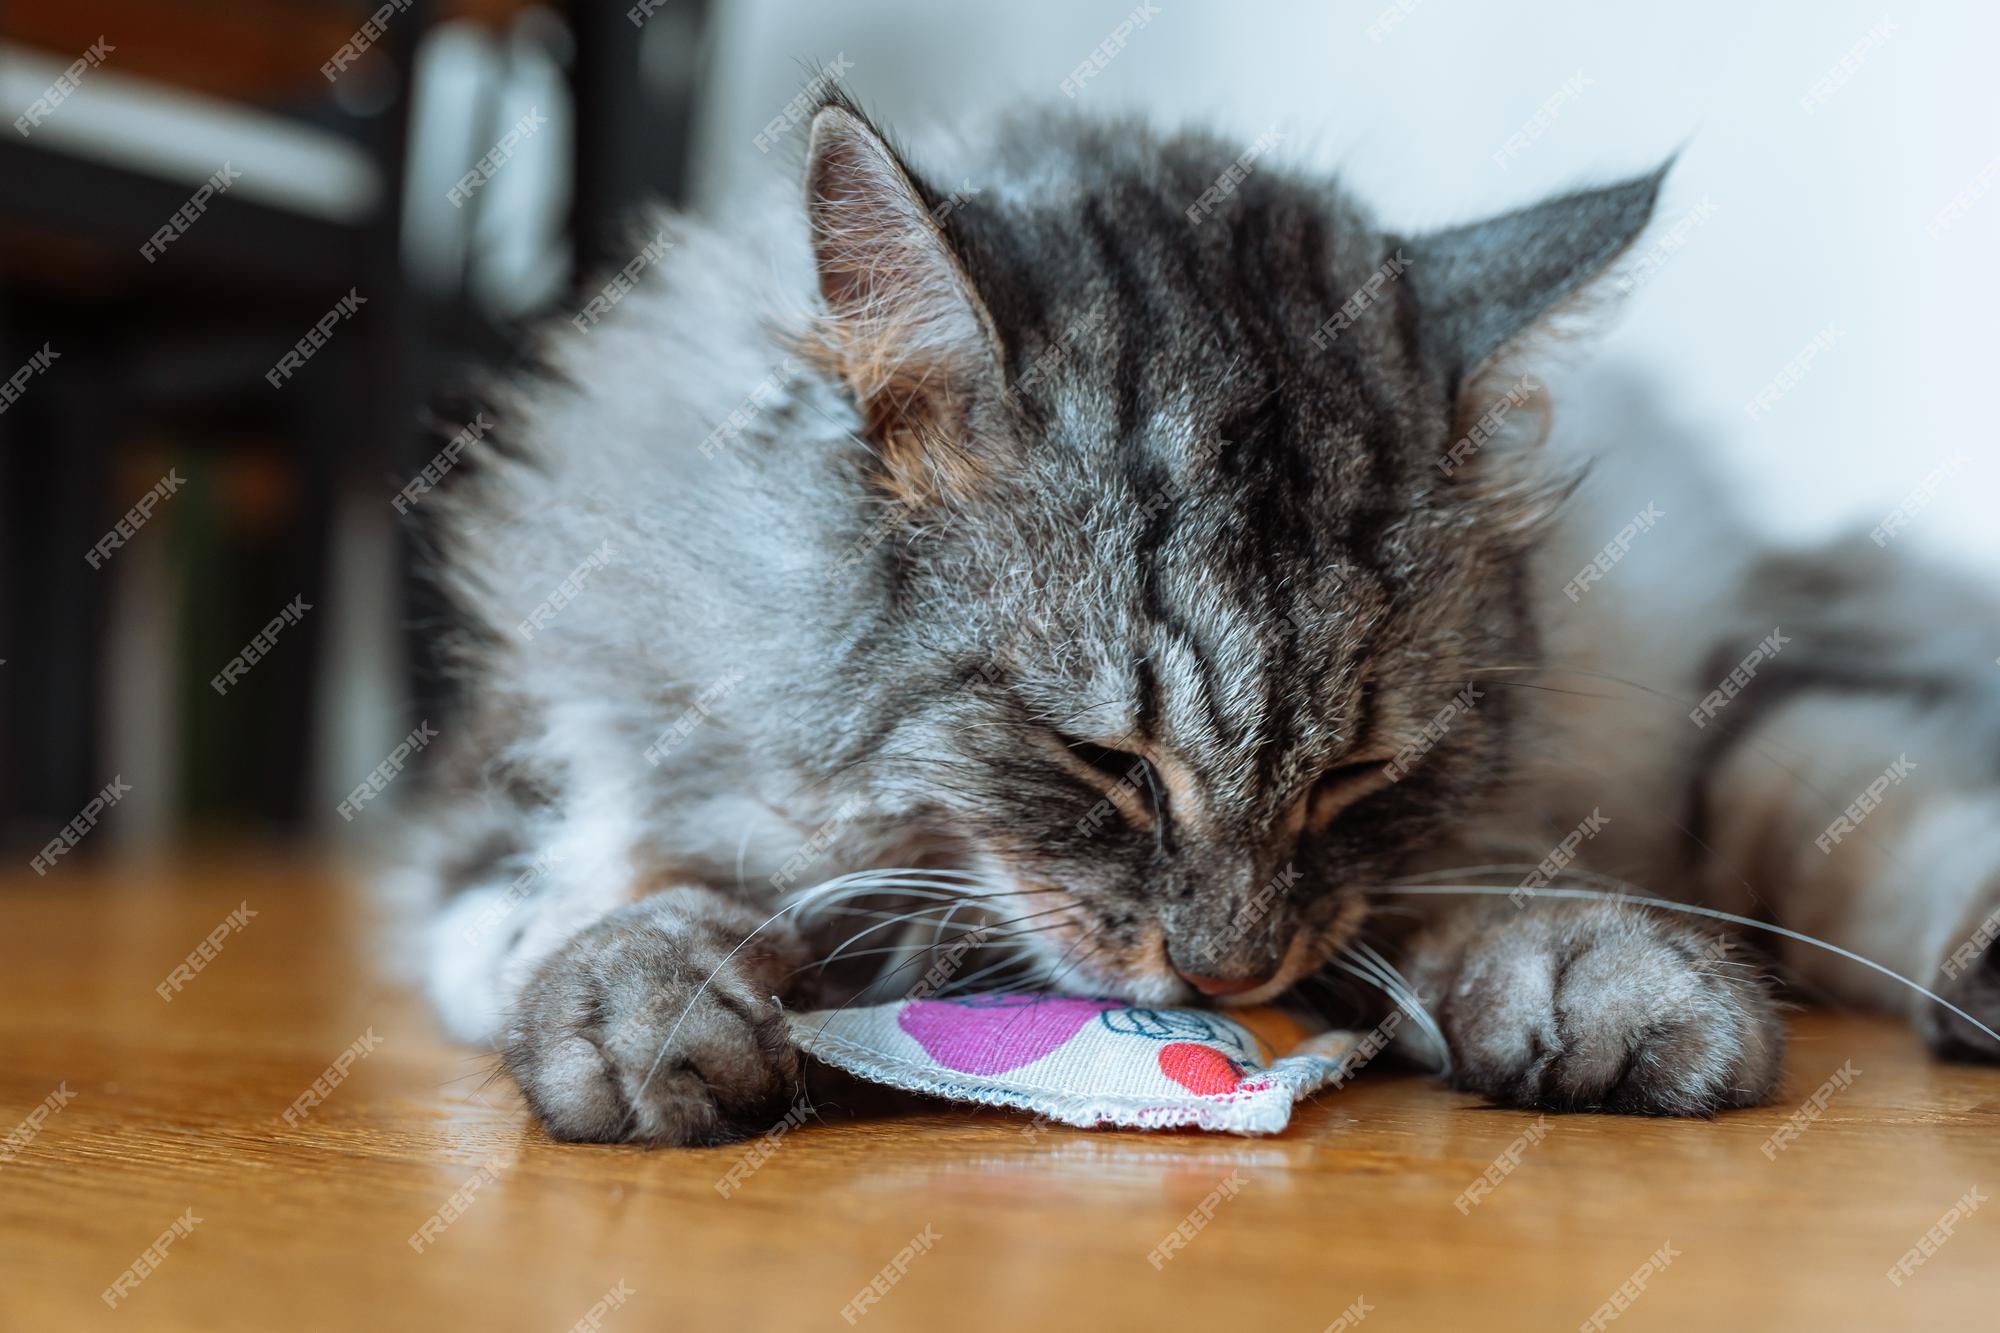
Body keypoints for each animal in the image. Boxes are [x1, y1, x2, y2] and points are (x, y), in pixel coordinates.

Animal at [410, 88, 2000, 1136]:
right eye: (1102, 761)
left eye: (1357, 772)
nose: (1228, 974)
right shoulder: (533, 763)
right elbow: (614, 881)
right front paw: (652, 1003)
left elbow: (1462, 900)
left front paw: (1588, 986)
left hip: (1749, 682)